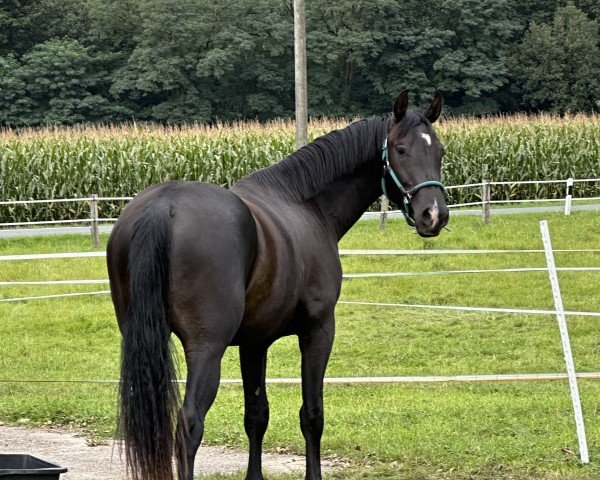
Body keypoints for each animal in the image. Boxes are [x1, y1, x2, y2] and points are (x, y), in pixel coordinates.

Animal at [106, 91, 446, 480]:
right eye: (401, 149)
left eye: (440, 151)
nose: (434, 215)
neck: (307, 204)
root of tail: (165, 206)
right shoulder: (318, 331)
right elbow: (312, 415)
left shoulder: (254, 342)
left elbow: (256, 415)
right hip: (206, 348)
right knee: (188, 428)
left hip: (143, 341)